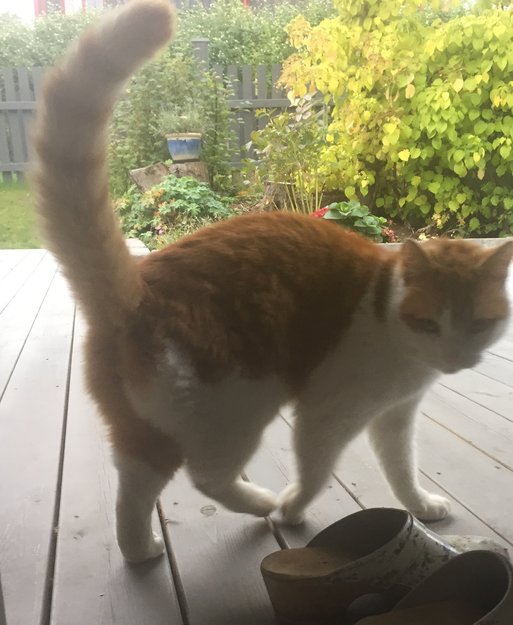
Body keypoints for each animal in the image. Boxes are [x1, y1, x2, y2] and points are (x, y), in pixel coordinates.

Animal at [32, 0, 513, 564]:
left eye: (480, 324)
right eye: (430, 324)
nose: (457, 358)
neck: (394, 333)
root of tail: (137, 286)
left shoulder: (395, 418)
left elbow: (402, 472)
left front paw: (422, 506)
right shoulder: (328, 412)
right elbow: (316, 471)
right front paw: (294, 508)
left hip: (147, 429)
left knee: (135, 486)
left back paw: (141, 549)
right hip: (240, 406)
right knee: (204, 477)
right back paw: (262, 504)